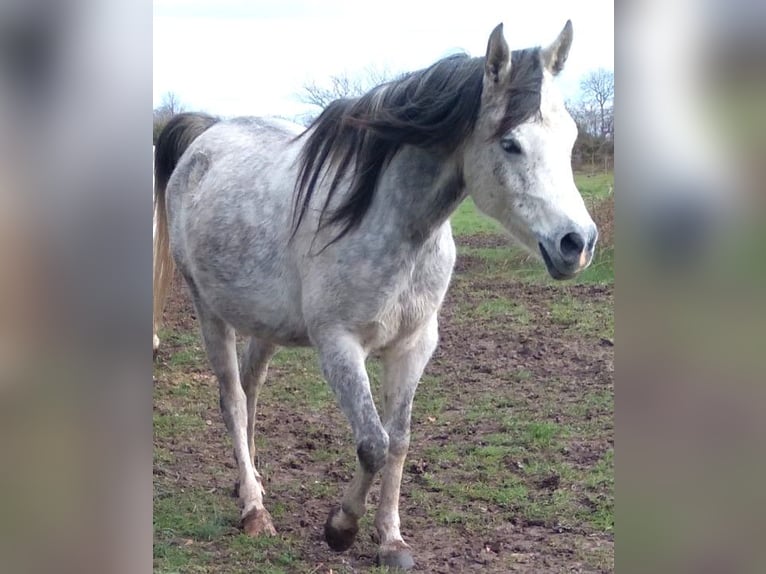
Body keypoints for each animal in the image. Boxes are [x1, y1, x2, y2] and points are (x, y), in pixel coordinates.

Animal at [152, 20, 592, 568]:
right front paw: (341, 527)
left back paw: (248, 482)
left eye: (571, 137)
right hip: (209, 311)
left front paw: (391, 538)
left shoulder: (413, 346)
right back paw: (254, 509)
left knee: (252, 388)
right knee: (232, 397)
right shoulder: (340, 345)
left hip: (265, 322)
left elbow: (399, 440)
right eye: (511, 143)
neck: (392, 223)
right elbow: (372, 442)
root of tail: (205, 138)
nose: (577, 242)